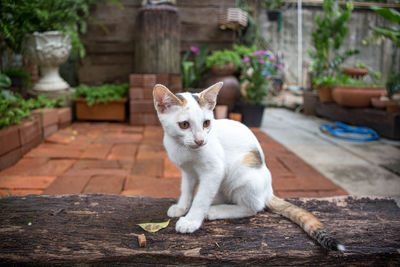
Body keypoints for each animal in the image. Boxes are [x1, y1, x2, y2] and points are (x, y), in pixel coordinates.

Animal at [152, 82, 344, 252]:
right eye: (184, 125)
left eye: (206, 123)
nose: (200, 141)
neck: (183, 148)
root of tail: (268, 190)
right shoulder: (188, 171)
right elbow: (187, 189)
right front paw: (182, 206)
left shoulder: (215, 170)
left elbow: (201, 198)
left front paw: (191, 220)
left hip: (241, 174)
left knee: (253, 207)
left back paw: (215, 210)